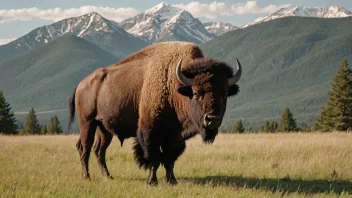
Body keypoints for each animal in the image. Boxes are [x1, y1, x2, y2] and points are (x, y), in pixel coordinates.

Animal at [67, 41, 241, 186]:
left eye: (225, 93)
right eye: (196, 92)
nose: (212, 119)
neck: (175, 86)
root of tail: (82, 83)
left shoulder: (175, 136)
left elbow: (170, 159)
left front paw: (172, 181)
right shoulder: (150, 132)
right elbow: (154, 158)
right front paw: (152, 182)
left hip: (104, 128)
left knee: (99, 150)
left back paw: (108, 176)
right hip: (87, 123)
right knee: (85, 148)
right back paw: (86, 177)